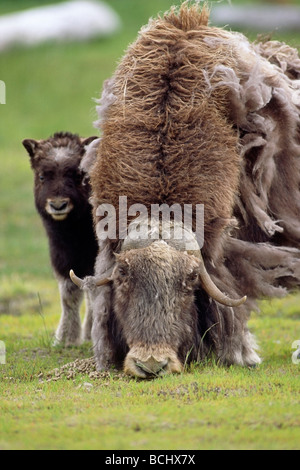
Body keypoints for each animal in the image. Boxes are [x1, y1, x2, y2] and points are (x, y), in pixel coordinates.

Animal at [23, 132, 99, 346]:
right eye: (42, 176)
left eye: (78, 175)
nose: (58, 205)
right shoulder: (62, 255)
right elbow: (69, 294)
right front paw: (66, 339)